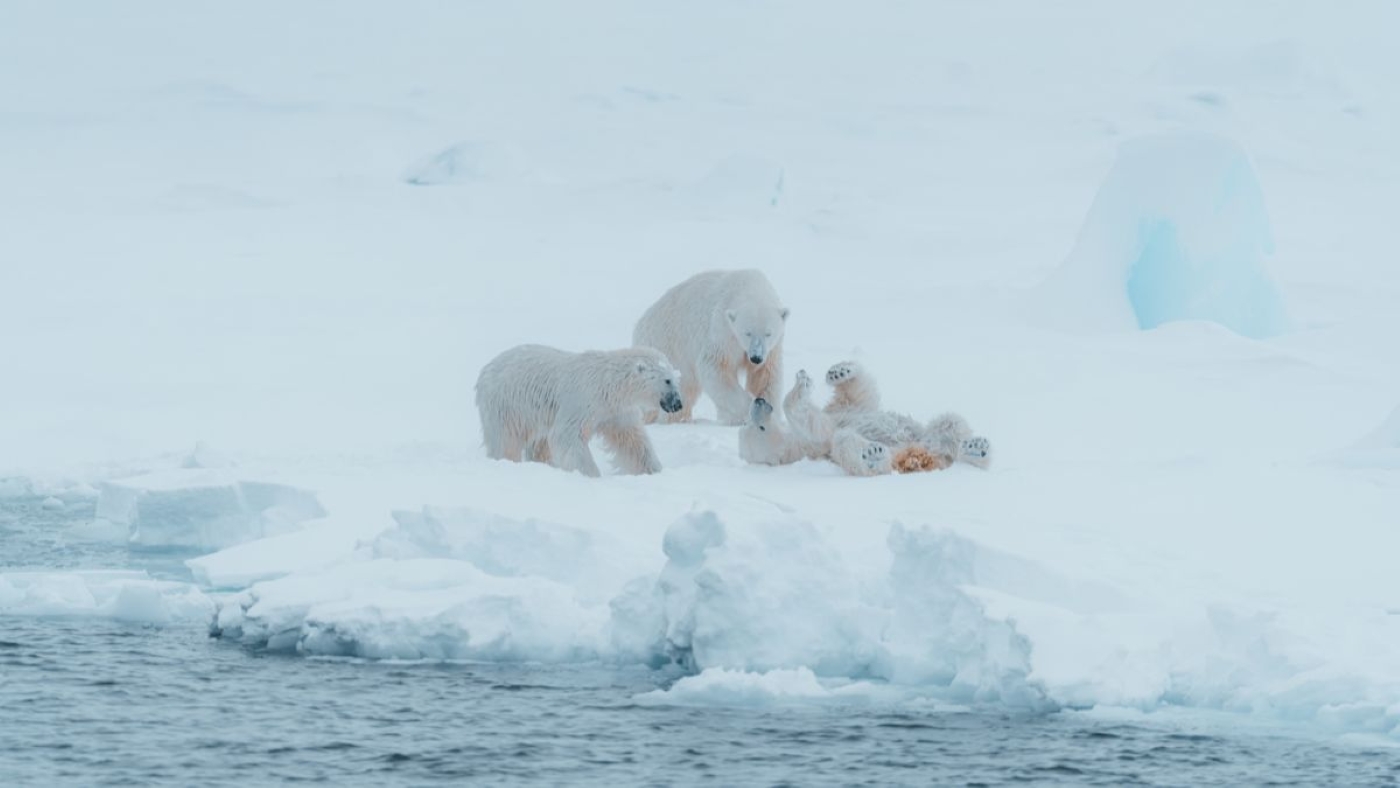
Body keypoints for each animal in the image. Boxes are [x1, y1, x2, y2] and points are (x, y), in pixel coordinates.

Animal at [475, 344, 683, 477]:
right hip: (505, 404)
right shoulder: (582, 400)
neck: (608, 383)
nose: (678, 404)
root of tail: (485, 369)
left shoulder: (615, 410)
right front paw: (591, 475)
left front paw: (654, 470)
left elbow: (632, 439)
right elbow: (566, 435)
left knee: (539, 444)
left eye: (675, 378)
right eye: (667, 380)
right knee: (505, 440)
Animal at [633, 269, 789, 426]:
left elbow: (765, 375)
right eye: (747, 332)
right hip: (668, 346)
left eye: (768, 333)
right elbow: (715, 369)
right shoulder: (722, 332)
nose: (756, 357)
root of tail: (640, 325)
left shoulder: (771, 349)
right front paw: (748, 410)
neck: (749, 287)